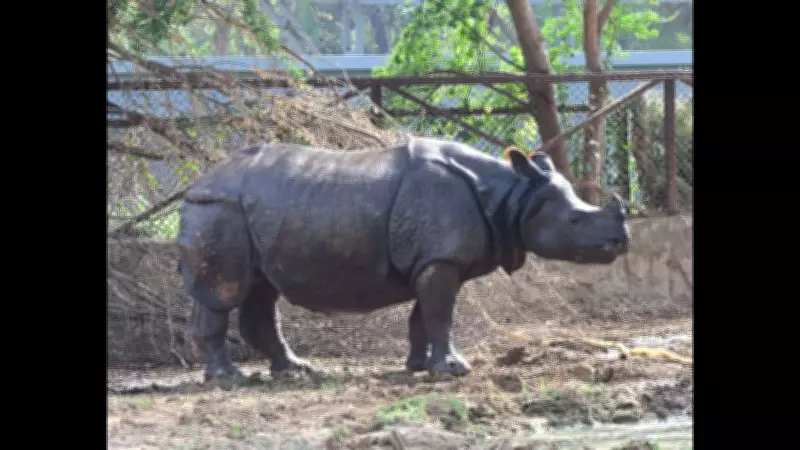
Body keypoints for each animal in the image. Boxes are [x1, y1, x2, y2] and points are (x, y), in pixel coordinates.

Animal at [177, 137, 630, 381]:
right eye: (575, 220)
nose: (622, 242)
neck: (511, 195)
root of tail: (196, 183)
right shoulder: (440, 259)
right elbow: (440, 314)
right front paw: (453, 370)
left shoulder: (433, 259)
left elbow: (424, 316)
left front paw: (419, 366)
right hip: (218, 209)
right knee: (224, 291)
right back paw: (228, 378)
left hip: (252, 212)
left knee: (261, 289)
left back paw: (295, 370)